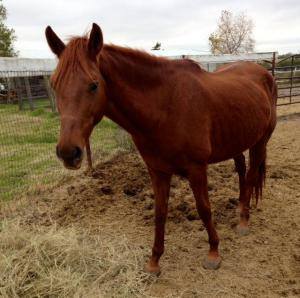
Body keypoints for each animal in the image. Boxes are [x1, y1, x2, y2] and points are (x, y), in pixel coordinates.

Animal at [44, 23, 276, 274]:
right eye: (54, 84)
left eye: (94, 85)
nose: (68, 152)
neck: (166, 106)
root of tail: (263, 73)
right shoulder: (157, 170)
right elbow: (160, 212)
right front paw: (154, 260)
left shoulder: (197, 169)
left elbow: (204, 208)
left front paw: (213, 252)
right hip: (236, 140)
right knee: (242, 171)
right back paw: (241, 208)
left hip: (260, 141)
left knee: (251, 175)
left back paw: (243, 220)